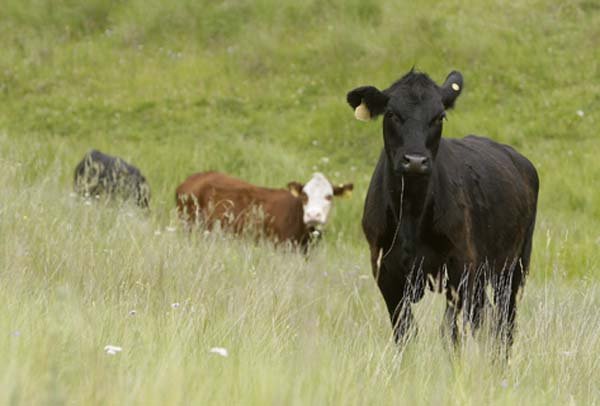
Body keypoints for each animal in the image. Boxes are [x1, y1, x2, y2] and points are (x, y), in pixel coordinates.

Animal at [346, 70, 540, 356]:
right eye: (391, 114)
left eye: (440, 116)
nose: (415, 161)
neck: (411, 211)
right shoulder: (385, 270)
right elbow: (405, 331)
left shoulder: (460, 266)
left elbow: (449, 332)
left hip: (513, 268)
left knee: (504, 326)